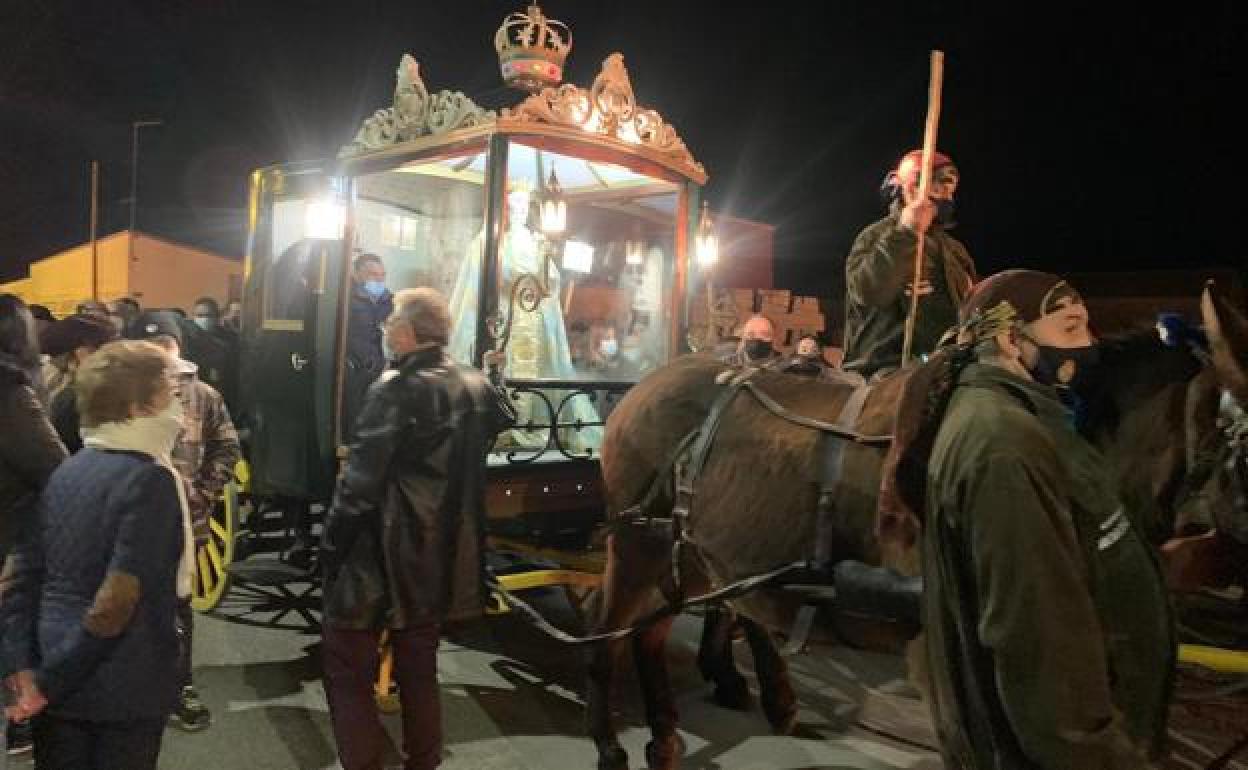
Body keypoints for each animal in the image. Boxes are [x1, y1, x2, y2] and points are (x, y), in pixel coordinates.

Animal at [589, 288, 1248, 768]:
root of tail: (648, 383)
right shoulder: (941, 651)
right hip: (637, 542)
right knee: (610, 631)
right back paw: (611, 741)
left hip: (691, 553)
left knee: (652, 632)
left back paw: (670, 734)